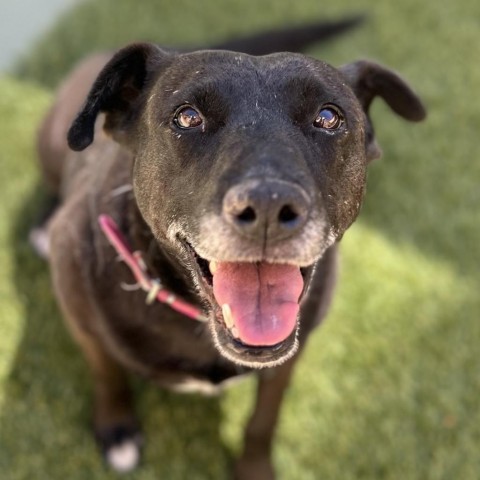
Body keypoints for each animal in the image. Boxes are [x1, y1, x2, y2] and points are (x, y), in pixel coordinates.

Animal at [33, 18, 426, 480]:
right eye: (187, 117)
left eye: (329, 117)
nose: (269, 205)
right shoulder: (78, 311)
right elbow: (106, 372)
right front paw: (117, 428)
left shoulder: (289, 358)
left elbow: (263, 420)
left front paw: (254, 466)